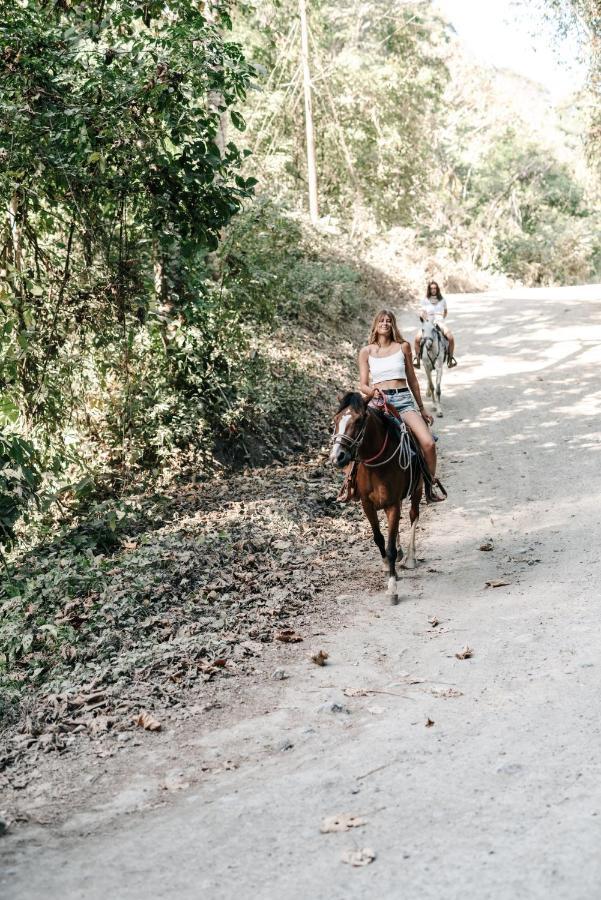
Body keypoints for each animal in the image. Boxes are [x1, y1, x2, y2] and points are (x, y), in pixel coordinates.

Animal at [330, 390, 424, 600]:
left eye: (358, 421)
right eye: (335, 420)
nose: (337, 457)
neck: (376, 465)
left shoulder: (393, 504)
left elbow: (389, 547)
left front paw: (392, 588)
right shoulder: (367, 504)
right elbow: (379, 538)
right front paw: (387, 567)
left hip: (418, 488)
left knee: (413, 515)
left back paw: (410, 557)